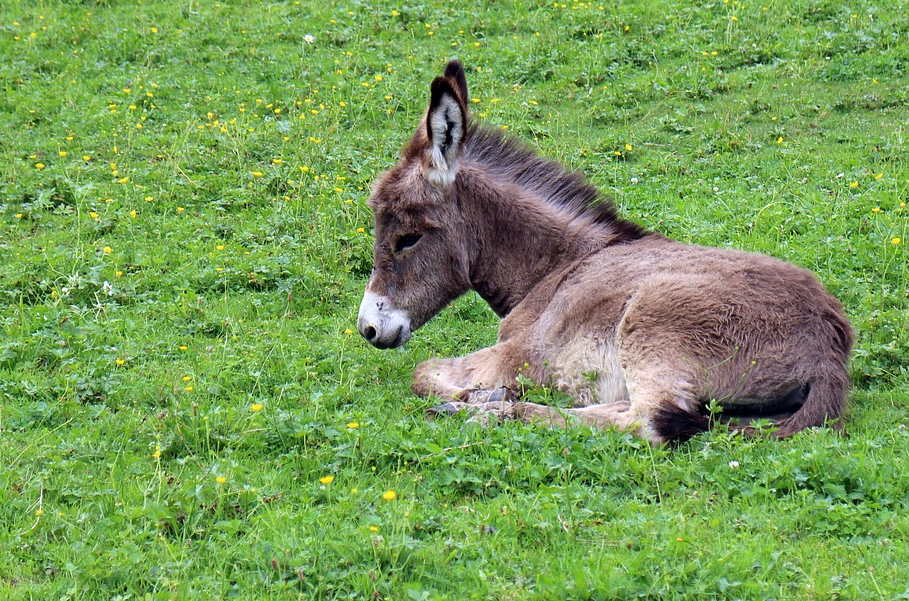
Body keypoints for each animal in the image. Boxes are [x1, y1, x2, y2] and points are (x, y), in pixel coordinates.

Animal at [356, 62, 852, 446]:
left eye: (407, 238)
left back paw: (495, 411)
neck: (554, 267)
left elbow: (423, 372)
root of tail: (829, 345)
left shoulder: (522, 352)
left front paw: (476, 398)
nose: (368, 329)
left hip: (652, 328)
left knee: (647, 423)